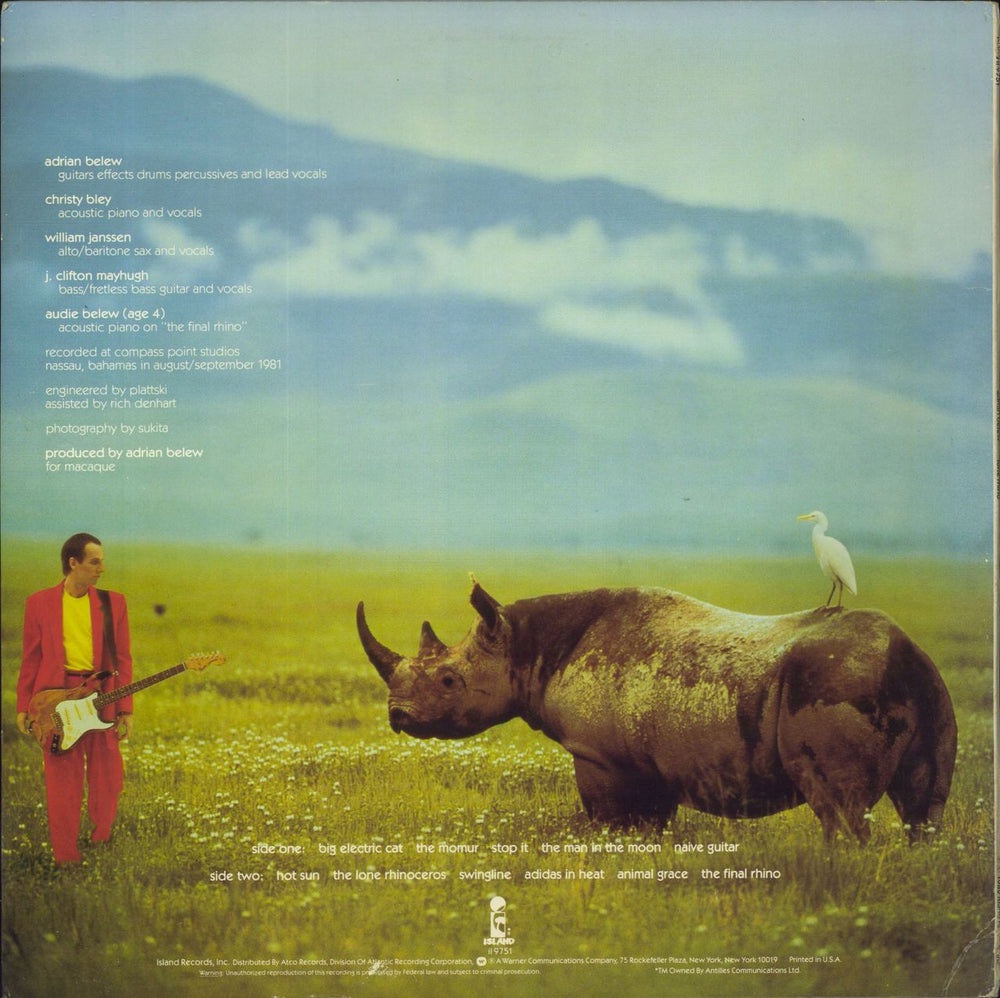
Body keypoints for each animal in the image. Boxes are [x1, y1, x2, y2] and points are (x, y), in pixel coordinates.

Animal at [357, 581, 956, 842]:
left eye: (448, 681)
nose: (399, 716)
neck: (524, 647)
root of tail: (904, 653)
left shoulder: (599, 756)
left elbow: (608, 821)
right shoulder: (651, 761)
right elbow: (652, 827)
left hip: (836, 681)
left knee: (840, 808)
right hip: (928, 690)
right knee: (923, 808)